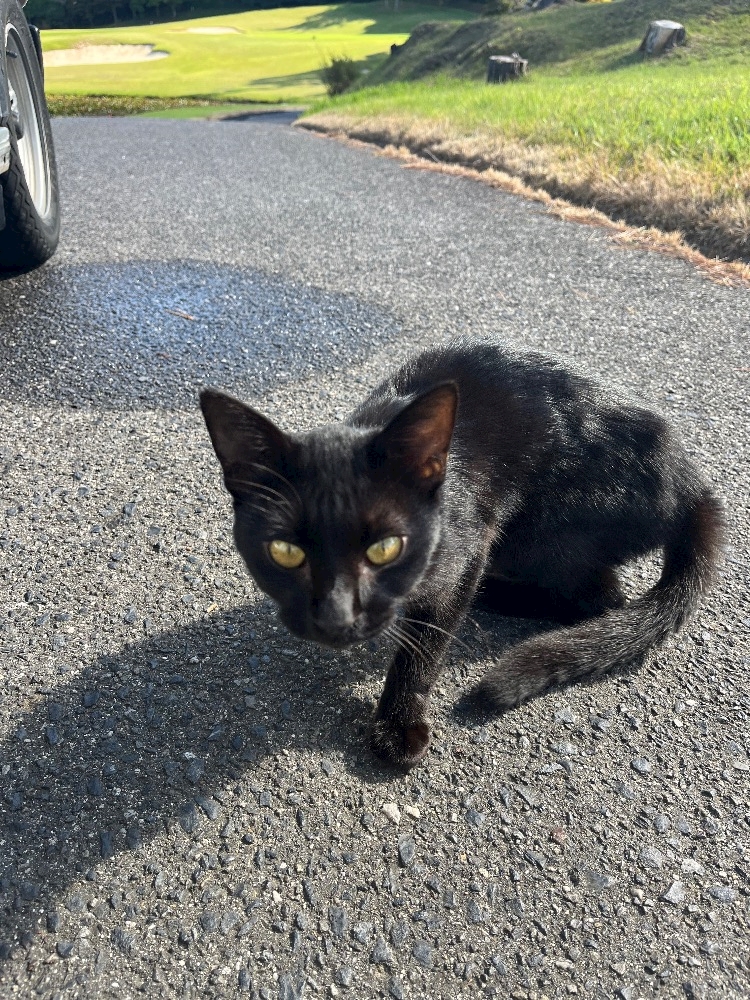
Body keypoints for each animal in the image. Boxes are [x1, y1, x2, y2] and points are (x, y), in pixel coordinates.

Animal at [200, 339, 723, 769]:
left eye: (385, 548)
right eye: (285, 552)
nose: (335, 617)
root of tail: (692, 483)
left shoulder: (468, 547)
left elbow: (425, 647)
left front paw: (397, 725)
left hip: (539, 533)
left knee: (603, 597)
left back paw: (496, 593)